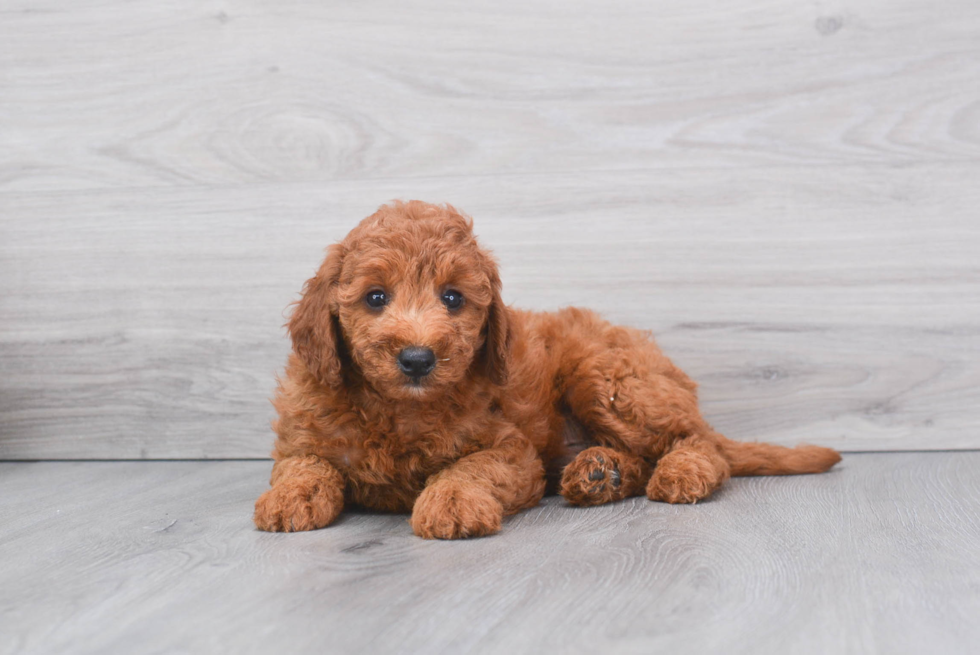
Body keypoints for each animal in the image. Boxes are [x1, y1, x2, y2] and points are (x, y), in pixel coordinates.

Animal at [255, 202, 844, 540]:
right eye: (375, 297)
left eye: (453, 298)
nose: (418, 358)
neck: (398, 409)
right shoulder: (304, 432)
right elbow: (304, 465)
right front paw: (287, 499)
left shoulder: (512, 451)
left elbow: (470, 467)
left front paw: (451, 502)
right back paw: (599, 474)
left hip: (605, 377)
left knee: (698, 443)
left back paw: (678, 472)